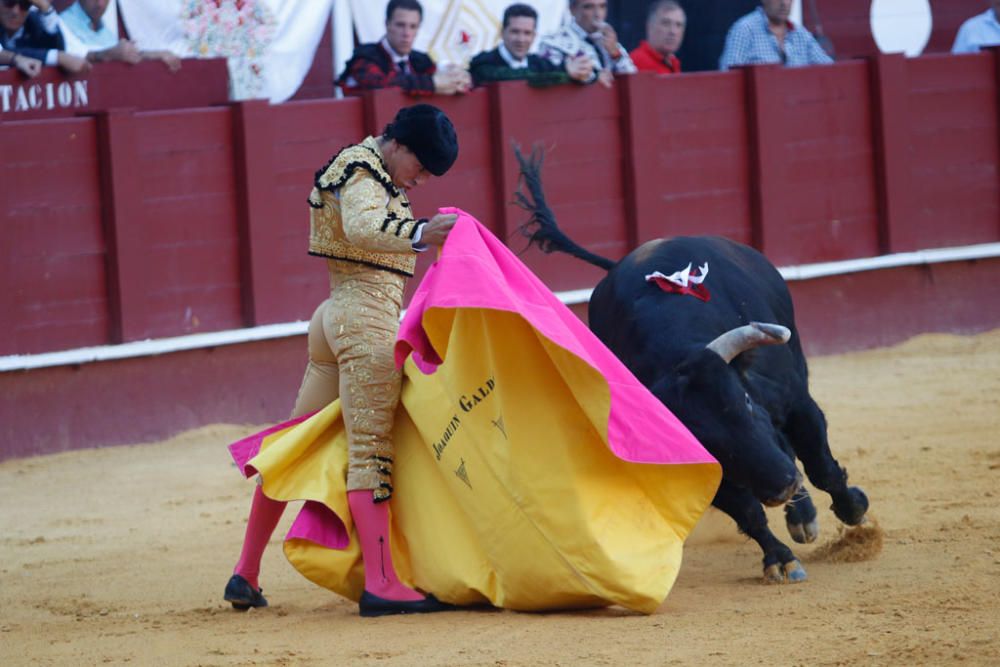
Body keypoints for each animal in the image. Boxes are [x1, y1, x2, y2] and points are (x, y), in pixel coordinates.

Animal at [516, 147, 868, 584]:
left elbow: (821, 466)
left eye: (744, 402)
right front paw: (780, 559)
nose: (782, 486)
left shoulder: (796, 403)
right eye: (706, 441)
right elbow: (748, 511)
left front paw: (854, 508)